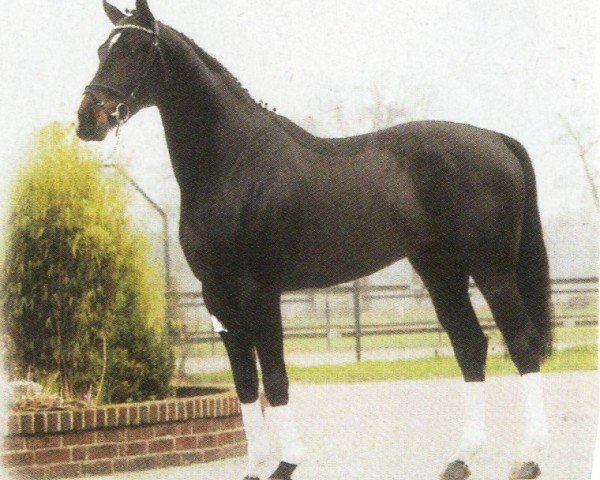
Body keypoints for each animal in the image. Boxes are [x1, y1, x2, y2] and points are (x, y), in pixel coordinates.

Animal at [76, 1, 552, 478]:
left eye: (136, 48)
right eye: (101, 49)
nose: (86, 120)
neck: (234, 165)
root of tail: (496, 140)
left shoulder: (259, 291)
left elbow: (274, 378)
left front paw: (287, 462)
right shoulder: (217, 295)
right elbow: (244, 384)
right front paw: (256, 465)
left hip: (492, 271)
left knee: (521, 344)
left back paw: (529, 458)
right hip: (441, 271)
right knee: (470, 346)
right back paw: (461, 458)